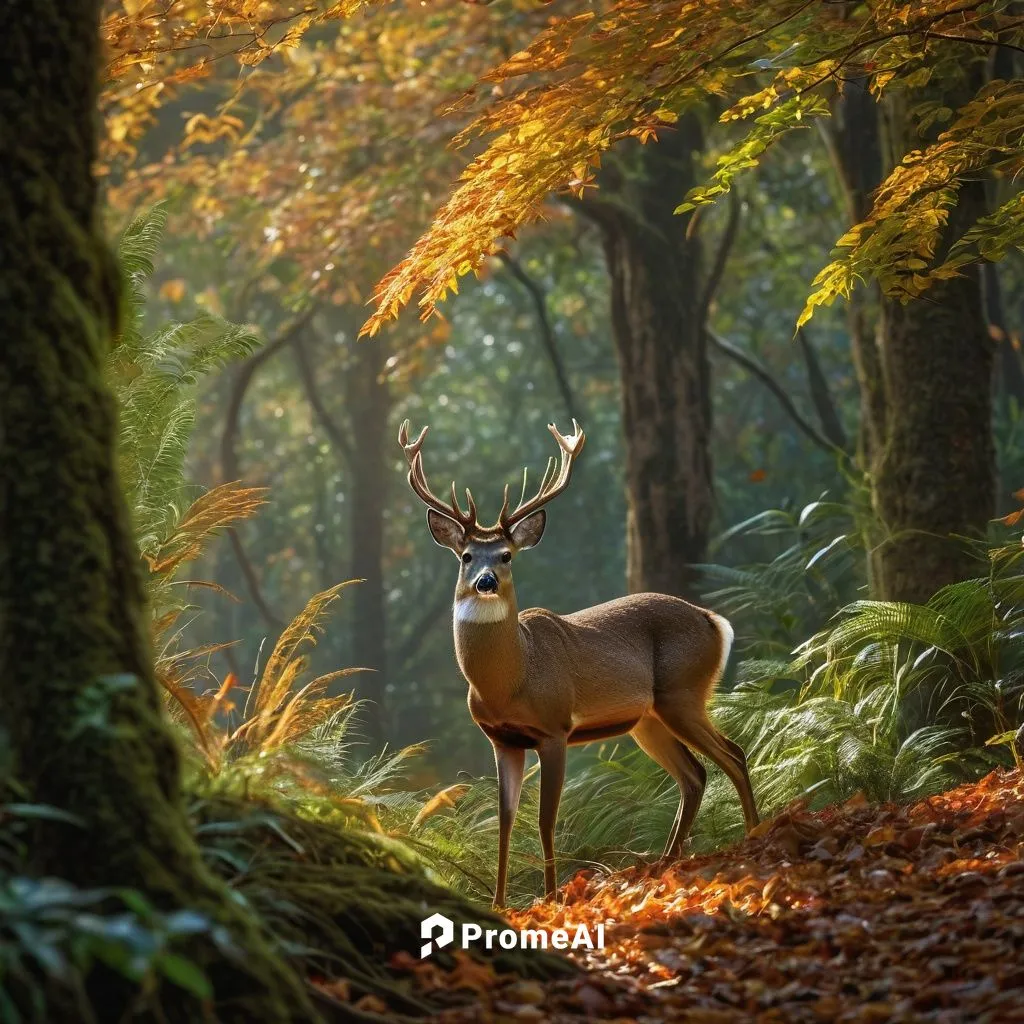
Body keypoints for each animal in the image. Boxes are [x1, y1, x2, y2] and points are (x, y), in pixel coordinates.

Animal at [399, 415, 761, 905]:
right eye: (466, 555)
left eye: (507, 555)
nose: (486, 581)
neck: (510, 682)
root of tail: (713, 620)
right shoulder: (501, 740)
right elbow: (505, 822)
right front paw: (497, 902)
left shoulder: (554, 729)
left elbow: (545, 819)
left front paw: (550, 896)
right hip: (646, 718)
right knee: (695, 773)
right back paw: (666, 860)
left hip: (682, 692)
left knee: (733, 755)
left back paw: (754, 834)